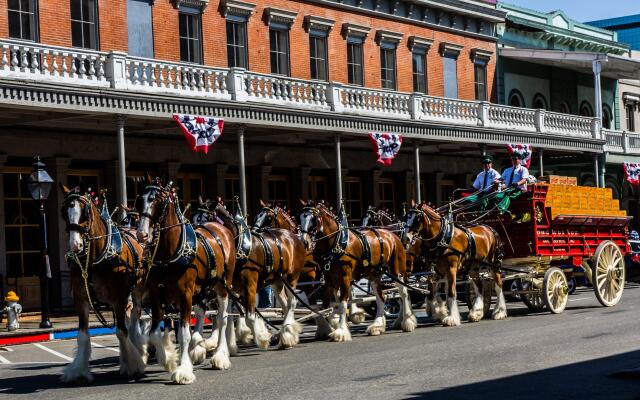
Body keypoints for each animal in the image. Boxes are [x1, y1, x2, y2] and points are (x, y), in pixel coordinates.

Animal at [59, 186, 146, 382]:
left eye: (85, 212)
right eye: (64, 213)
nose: (74, 246)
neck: (94, 260)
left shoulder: (119, 299)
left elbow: (121, 332)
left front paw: (133, 366)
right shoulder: (81, 300)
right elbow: (82, 336)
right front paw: (78, 370)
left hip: (137, 291)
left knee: (133, 320)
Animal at [136, 180, 236, 382]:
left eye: (157, 201)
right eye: (140, 200)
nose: (142, 234)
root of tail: (222, 228)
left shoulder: (185, 294)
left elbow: (183, 334)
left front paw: (183, 370)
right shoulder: (156, 295)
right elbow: (154, 333)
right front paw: (169, 360)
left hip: (222, 285)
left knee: (222, 317)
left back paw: (220, 355)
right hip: (203, 288)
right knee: (202, 312)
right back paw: (199, 347)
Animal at [215, 198, 310, 348]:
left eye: (269, 218)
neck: (240, 246)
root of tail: (294, 237)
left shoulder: (250, 284)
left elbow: (248, 317)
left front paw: (261, 337)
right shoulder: (233, 287)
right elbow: (230, 315)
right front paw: (231, 343)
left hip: (292, 277)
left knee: (292, 302)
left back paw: (287, 334)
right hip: (277, 282)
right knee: (285, 304)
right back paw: (286, 334)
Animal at [298, 200, 418, 340]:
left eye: (313, 219)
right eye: (300, 218)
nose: (304, 242)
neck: (337, 242)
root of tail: (393, 235)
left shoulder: (345, 276)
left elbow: (343, 303)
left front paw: (341, 331)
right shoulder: (329, 279)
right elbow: (328, 304)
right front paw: (329, 326)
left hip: (396, 270)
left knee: (403, 293)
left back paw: (407, 322)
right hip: (374, 274)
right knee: (381, 297)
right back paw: (377, 326)